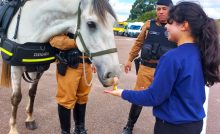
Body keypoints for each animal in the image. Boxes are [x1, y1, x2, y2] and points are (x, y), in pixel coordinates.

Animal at [0, 0, 120, 133]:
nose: (113, 74)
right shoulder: (15, 68)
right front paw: (13, 128)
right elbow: (16, 98)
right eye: (91, 24)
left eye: (113, 23)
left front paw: (30, 119)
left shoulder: (38, 68)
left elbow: (32, 93)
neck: (31, 25)